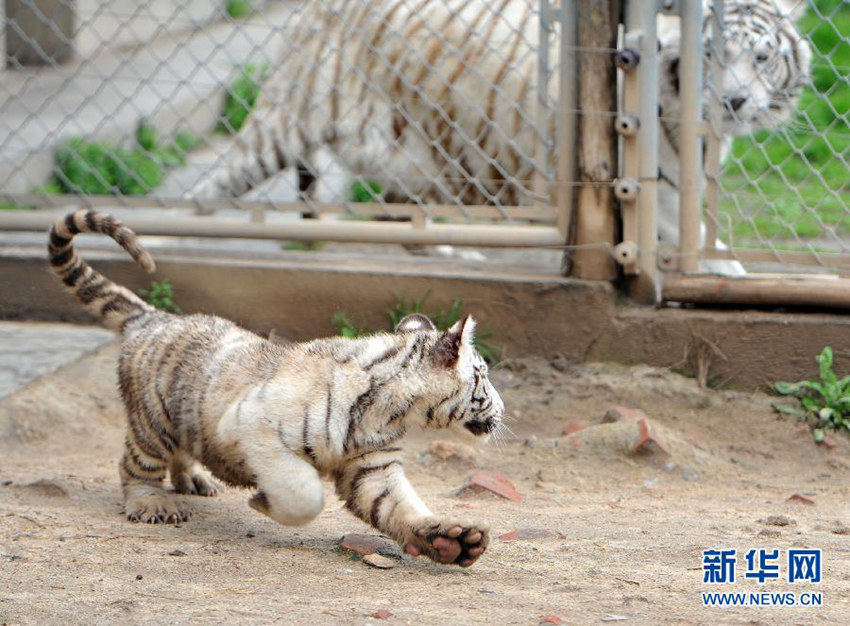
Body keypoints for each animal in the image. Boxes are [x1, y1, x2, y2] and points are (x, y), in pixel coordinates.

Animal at [186, 0, 808, 272]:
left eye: (761, 58)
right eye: (712, 57)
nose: (733, 101)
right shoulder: (658, 187)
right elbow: (707, 249)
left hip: (425, 158)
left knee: (396, 210)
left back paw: (454, 249)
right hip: (284, 125)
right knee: (204, 191)